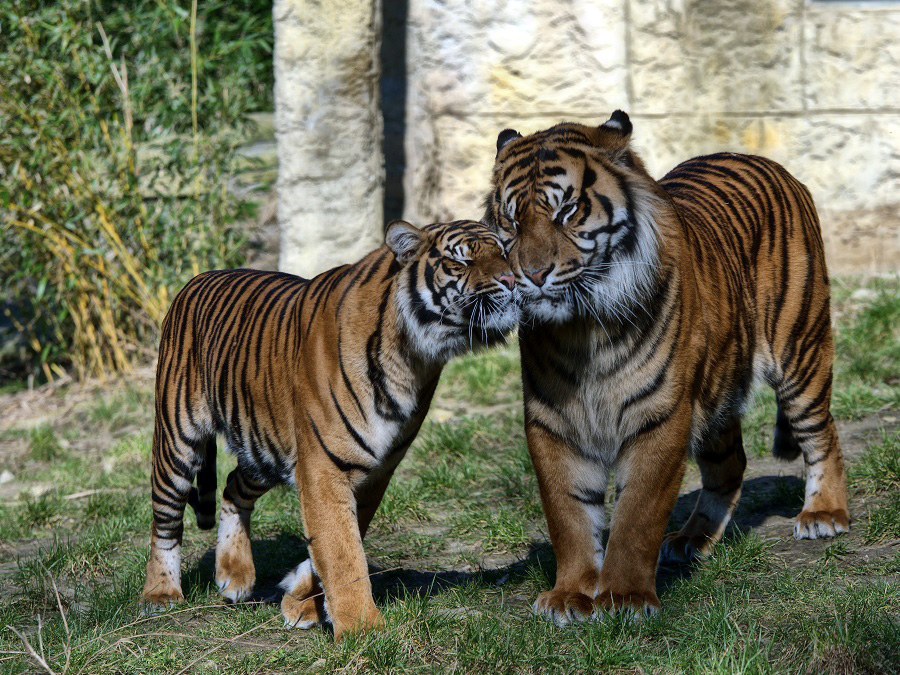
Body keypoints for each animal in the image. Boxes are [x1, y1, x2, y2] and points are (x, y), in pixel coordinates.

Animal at [142, 220, 520, 640]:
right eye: (460, 260)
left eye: (506, 252)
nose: (512, 279)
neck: (414, 358)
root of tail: (199, 277)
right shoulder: (324, 466)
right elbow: (341, 550)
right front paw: (363, 631)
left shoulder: (376, 469)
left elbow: (337, 540)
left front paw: (301, 603)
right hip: (178, 439)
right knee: (165, 518)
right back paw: (161, 594)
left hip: (263, 449)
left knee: (232, 486)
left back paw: (234, 575)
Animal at [482, 109, 848, 624]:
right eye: (511, 221)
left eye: (566, 212)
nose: (531, 276)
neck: (581, 329)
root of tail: (759, 158)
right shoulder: (552, 424)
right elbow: (568, 515)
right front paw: (569, 596)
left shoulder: (660, 414)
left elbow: (637, 514)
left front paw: (624, 598)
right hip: (718, 387)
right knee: (730, 463)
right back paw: (693, 539)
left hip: (801, 350)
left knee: (822, 432)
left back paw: (824, 515)